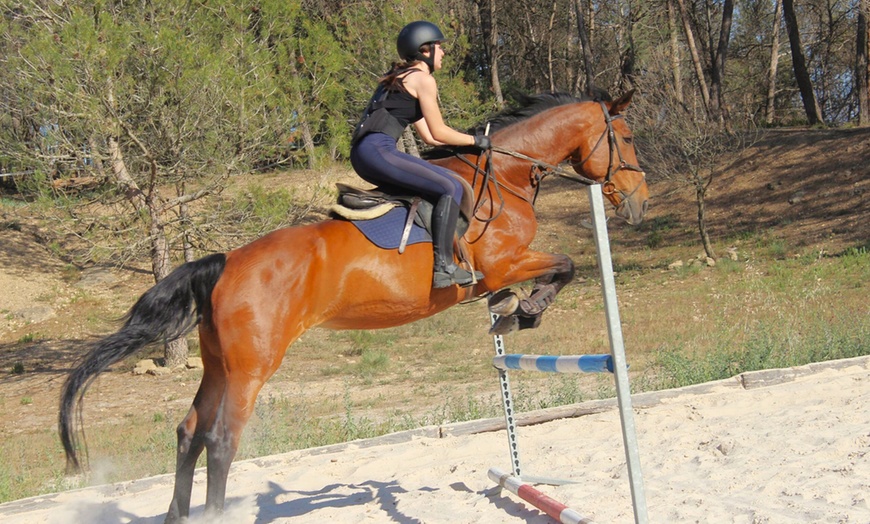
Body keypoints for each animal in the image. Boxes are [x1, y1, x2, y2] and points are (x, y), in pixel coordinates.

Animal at [59, 89, 648, 520]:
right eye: (626, 137)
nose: (639, 203)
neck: (502, 177)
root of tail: (224, 262)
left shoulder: (506, 268)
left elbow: (551, 273)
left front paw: (510, 312)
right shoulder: (506, 263)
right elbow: (565, 265)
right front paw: (525, 311)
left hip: (219, 364)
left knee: (189, 433)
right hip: (253, 366)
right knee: (221, 440)